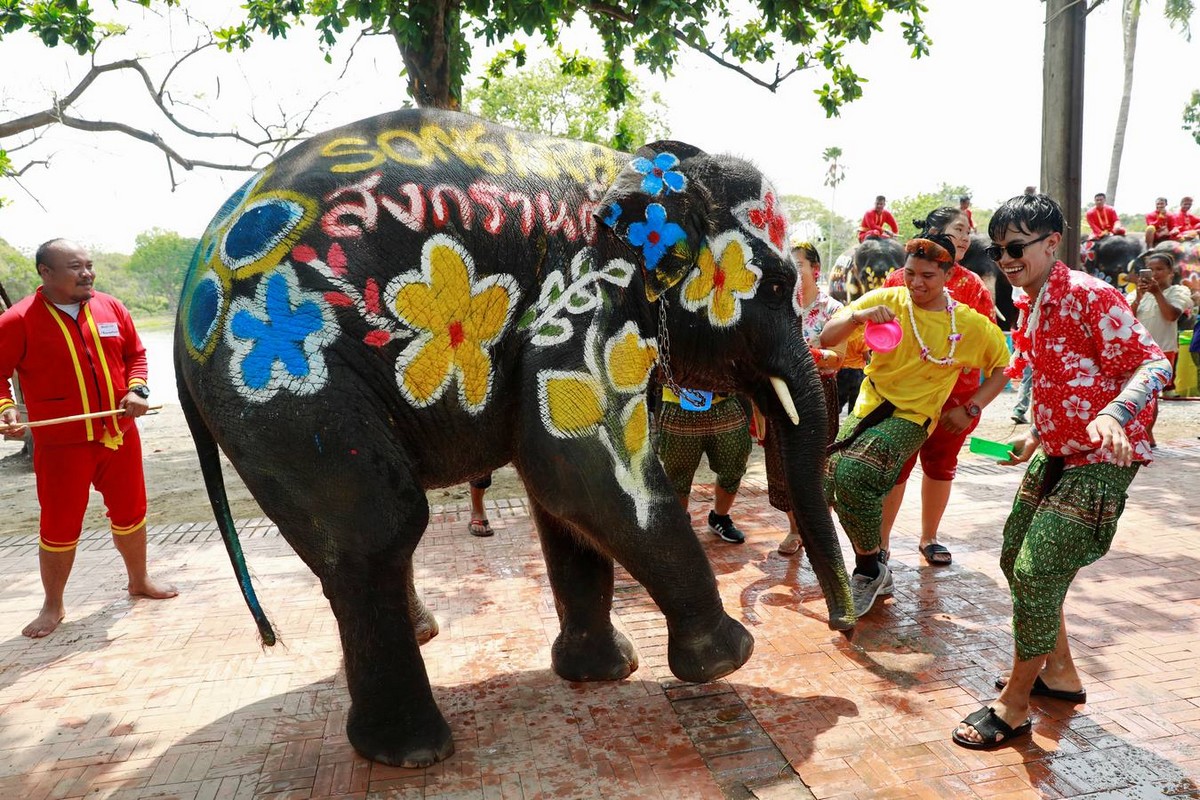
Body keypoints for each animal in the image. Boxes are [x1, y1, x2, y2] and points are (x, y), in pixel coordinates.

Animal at [174, 107, 859, 767]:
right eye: (778, 285)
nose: (843, 628)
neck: (635, 172)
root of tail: (189, 296)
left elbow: (560, 495)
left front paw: (606, 673)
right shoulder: (584, 297)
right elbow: (579, 472)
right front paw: (729, 659)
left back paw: (419, 646)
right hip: (285, 390)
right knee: (378, 528)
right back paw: (413, 751)